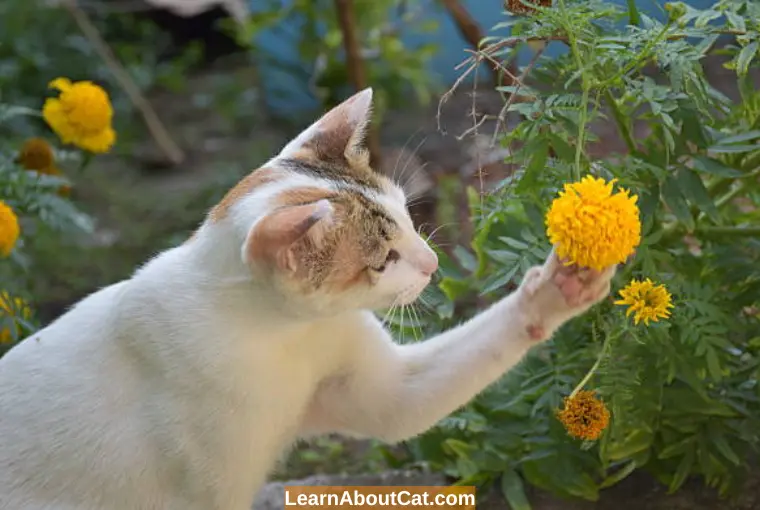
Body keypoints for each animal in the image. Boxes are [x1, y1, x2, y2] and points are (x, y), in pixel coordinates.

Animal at [0, 88, 616, 510]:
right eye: (383, 259)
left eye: (405, 214)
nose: (434, 264)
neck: (283, 337)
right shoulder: (210, 492)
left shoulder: (380, 389)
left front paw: (560, 287)